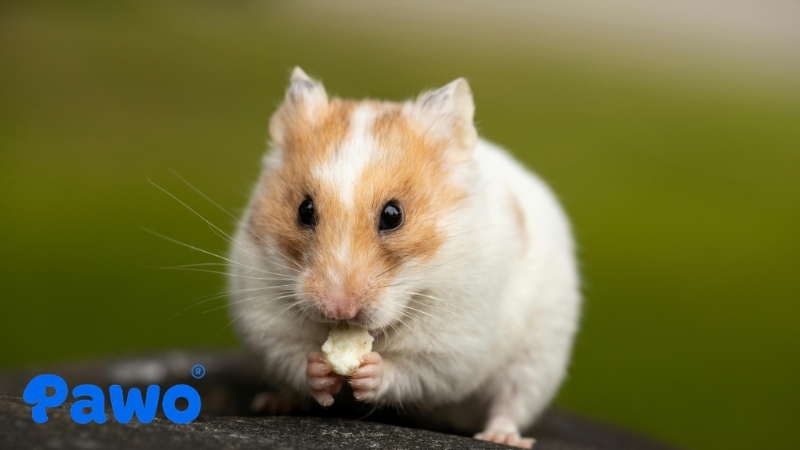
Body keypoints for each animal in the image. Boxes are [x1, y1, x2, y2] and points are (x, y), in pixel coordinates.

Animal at [228, 67, 581, 448]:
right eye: (304, 210)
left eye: (393, 215)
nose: (338, 310)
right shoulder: (265, 317)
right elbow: (293, 356)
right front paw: (320, 370)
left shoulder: (453, 345)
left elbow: (412, 371)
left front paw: (369, 371)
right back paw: (273, 403)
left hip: (538, 358)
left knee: (512, 401)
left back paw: (501, 436)